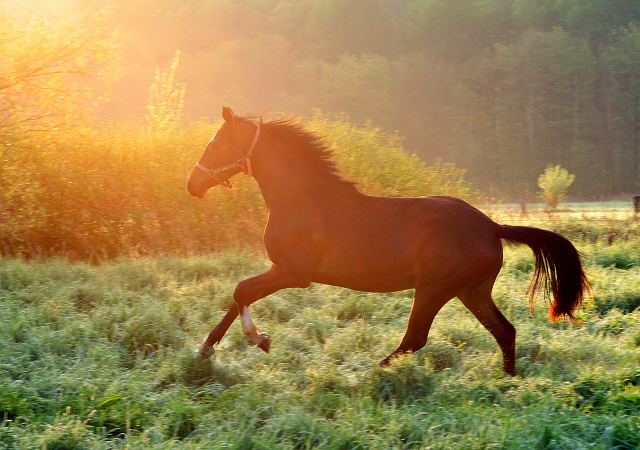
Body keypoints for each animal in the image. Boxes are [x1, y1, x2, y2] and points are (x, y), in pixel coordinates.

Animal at [186, 106, 592, 376]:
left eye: (217, 144)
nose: (192, 184)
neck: (301, 200)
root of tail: (492, 226)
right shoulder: (280, 270)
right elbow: (238, 295)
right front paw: (207, 349)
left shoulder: (293, 273)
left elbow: (240, 290)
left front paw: (259, 339)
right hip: (471, 291)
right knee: (504, 331)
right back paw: (507, 381)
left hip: (433, 289)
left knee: (415, 338)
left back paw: (367, 373)